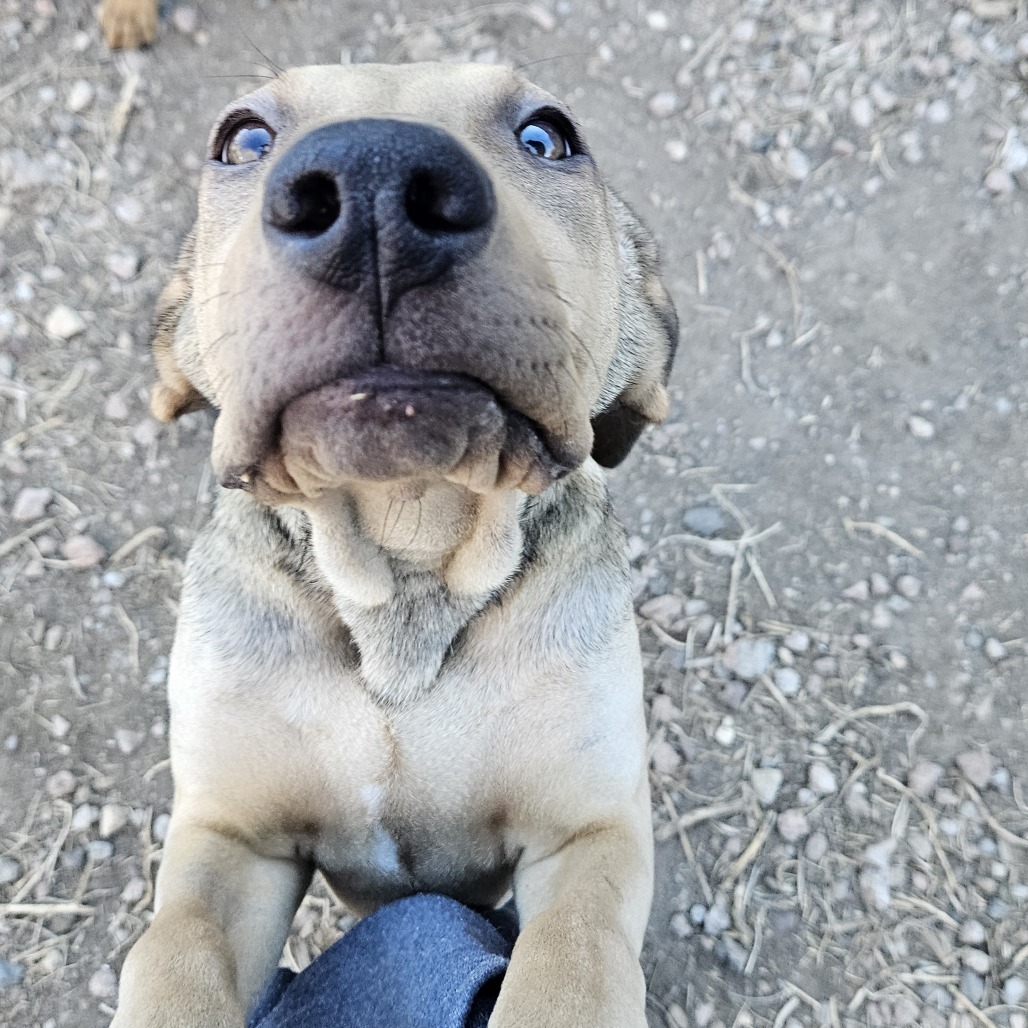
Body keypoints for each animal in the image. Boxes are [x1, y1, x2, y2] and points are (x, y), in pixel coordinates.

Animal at [112, 64, 678, 1028]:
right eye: (243, 139)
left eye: (547, 136)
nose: (374, 180)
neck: (407, 554)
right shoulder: (231, 840)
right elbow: (174, 952)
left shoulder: (587, 836)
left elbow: (571, 960)